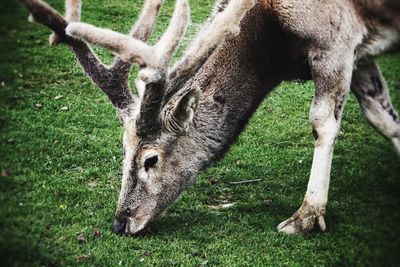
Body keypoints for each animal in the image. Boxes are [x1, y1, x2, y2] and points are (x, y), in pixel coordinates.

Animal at [19, 0, 400, 236]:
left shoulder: (335, 42)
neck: (275, 45)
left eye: (150, 159)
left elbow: (322, 123)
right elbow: (383, 118)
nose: (121, 222)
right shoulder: (360, 54)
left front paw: (306, 217)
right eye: (123, 151)